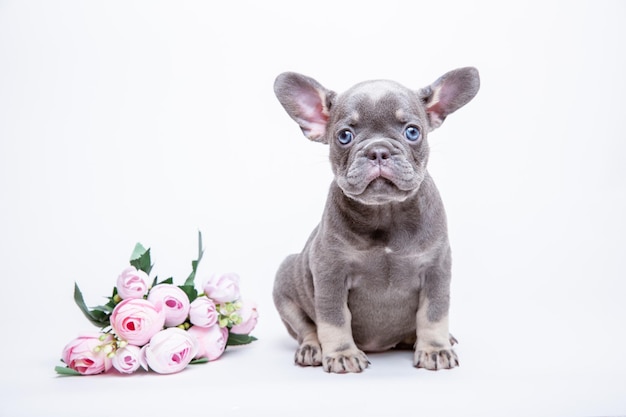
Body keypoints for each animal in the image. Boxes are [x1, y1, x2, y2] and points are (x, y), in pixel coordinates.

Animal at [272, 66, 478, 372]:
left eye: (412, 131)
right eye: (344, 136)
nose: (378, 150)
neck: (385, 212)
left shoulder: (436, 269)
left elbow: (434, 313)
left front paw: (435, 348)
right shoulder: (330, 272)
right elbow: (333, 318)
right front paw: (343, 354)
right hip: (285, 281)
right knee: (306, 328)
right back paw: (312, 349)